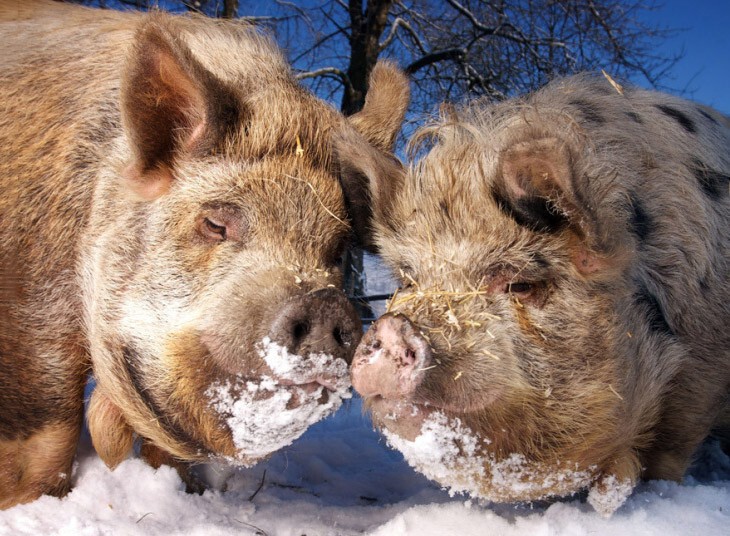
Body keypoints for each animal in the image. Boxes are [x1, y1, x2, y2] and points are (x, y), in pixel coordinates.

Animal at [0, 0, 410, 508]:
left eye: (336, 249)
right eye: (215, 224)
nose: (324, 303)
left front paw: (184, 491)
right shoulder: (29, 303)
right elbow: (48, 432)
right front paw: (30, 504)